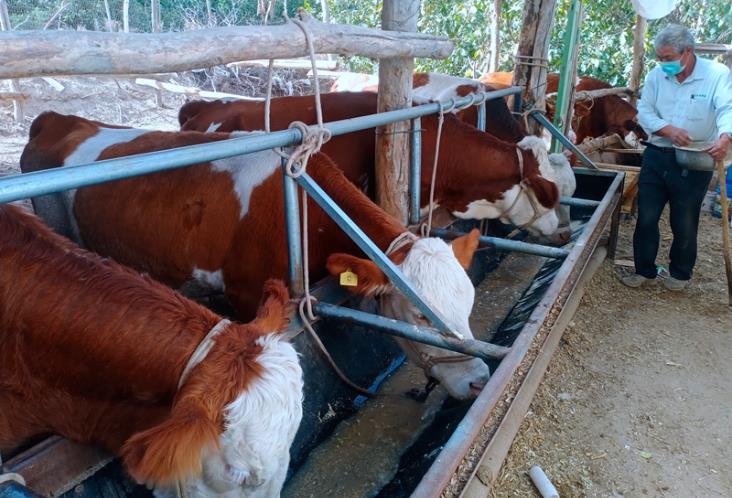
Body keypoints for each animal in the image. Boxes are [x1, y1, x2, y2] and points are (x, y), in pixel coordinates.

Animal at [20, 111, 492, 400]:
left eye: (469, 305)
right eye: (422, 316)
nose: (478, 381)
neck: (303, 207)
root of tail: (58, 120)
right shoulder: (248, 293)